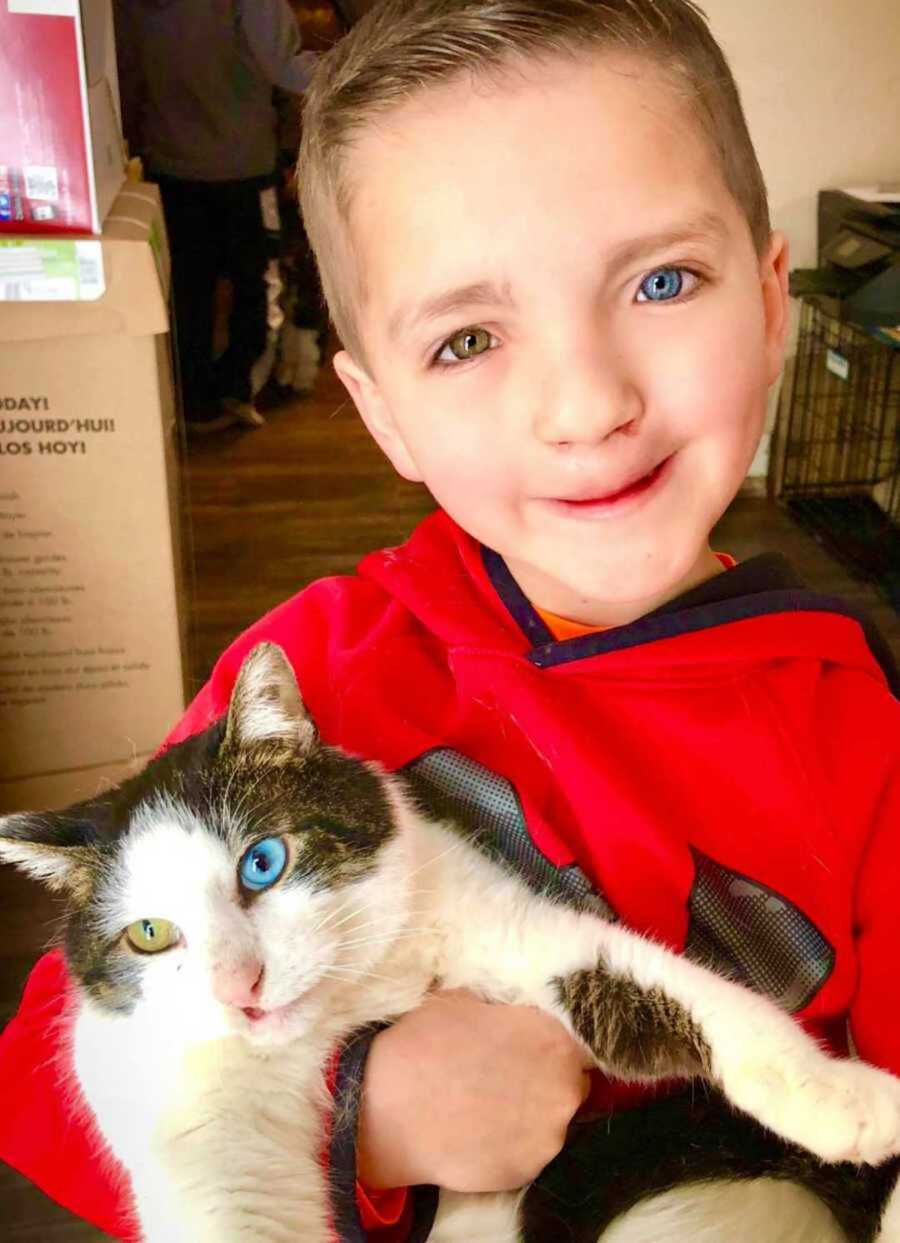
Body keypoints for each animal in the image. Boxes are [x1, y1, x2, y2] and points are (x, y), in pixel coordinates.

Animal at [5, 641, 900, 1243]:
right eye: (150, 935)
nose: (239, 986)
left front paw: (849, 1100)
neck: (352, 1001)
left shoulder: (492, 917)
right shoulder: (194, 1115)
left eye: (262, 861)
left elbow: (674, 990)